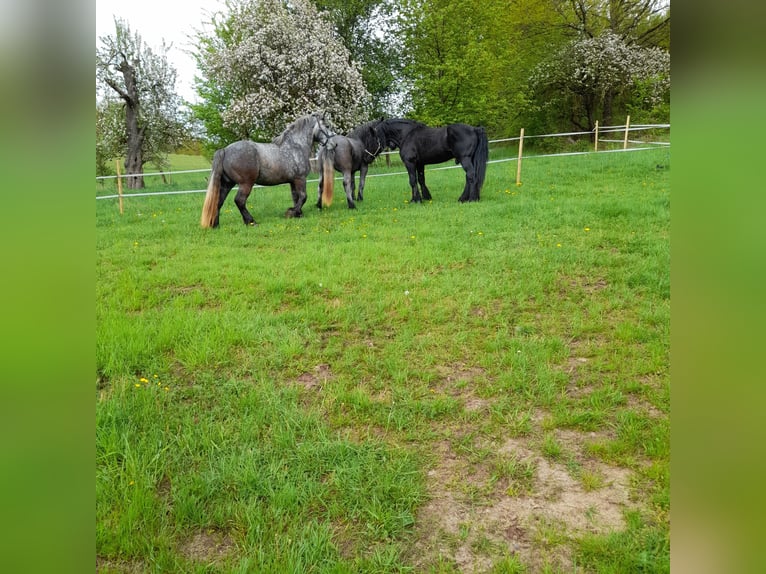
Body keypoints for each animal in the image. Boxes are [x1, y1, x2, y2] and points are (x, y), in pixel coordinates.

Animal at [201, 112, 336, 230]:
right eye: (327, 126)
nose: (334, 145)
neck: (295, 147)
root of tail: (225, 150)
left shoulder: (292, 181)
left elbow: (296, 197)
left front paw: (298, 214)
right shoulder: (300, 179)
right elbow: (303, 196)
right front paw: (291, 213)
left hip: (227, 184)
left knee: (219, 202)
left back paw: (215, 225)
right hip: (246, 184)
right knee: (239, 201)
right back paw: (251, 222)